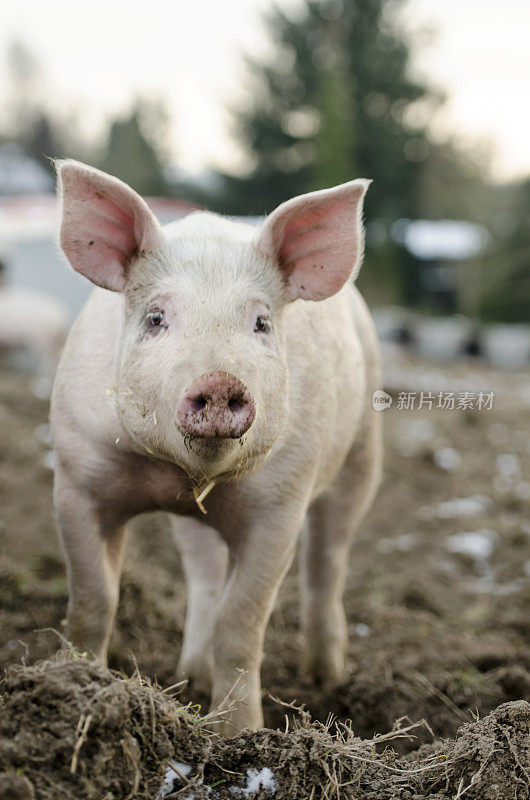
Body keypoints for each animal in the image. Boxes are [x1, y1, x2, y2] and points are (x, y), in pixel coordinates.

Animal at [51, 161, 382, 736]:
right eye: (156, 317)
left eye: (261, 322)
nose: (220, 380)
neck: (178, 477)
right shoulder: (76, 479)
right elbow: (94, 598)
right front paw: (78, 686)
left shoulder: (280, 505)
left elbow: (242, 623)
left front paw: (240, 737)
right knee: (205, 576)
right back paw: (190, 678)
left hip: (363, 452)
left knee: (327, 563)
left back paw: (326, 677)